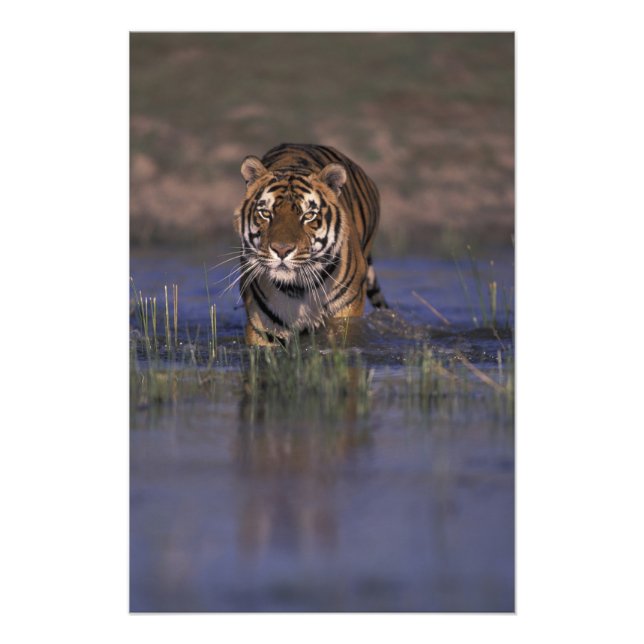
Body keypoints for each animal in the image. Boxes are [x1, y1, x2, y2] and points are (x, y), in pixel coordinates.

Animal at [233, 143, 388, 345]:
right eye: (265, 213)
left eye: (308, 216)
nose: (281, 250)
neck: (297, 288)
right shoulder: (264, 324)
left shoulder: (345, 312)